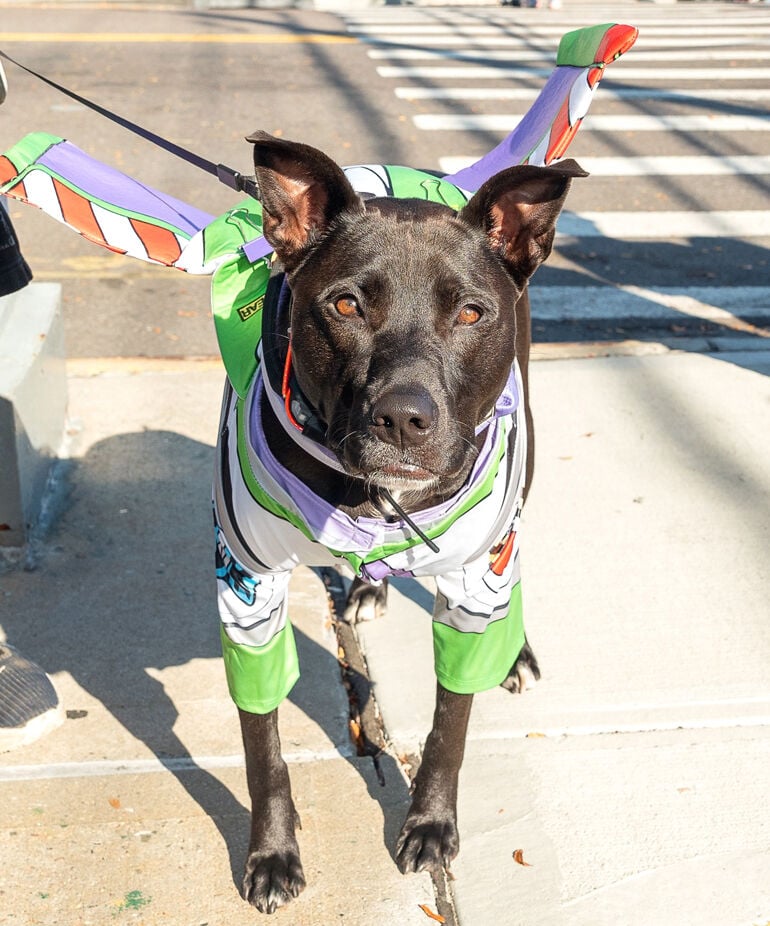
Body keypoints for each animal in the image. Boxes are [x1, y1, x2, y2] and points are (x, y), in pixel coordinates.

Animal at [213, 134, 580, 916]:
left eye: (470, 313)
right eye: (346, 304)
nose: (404, 418)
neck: (370, 498)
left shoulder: (473, 583)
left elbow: (451, 725)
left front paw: (432, 825)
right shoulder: (246, 590)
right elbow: (262, 744)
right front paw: (271, 852)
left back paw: (516, 651)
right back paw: (368, 587)